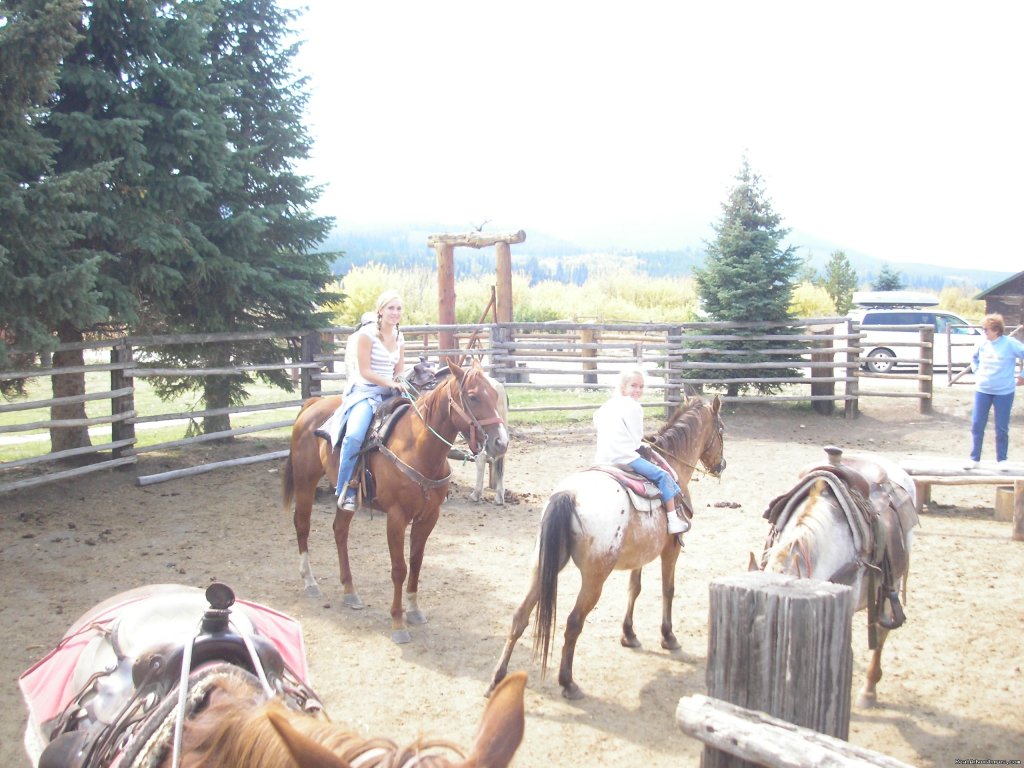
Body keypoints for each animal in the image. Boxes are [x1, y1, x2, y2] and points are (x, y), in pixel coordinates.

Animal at [280, 360, 507, 643]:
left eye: (495, 394)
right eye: (473, 396)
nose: (501, 442)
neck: (418, 448)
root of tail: (312, 404)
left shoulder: (429, 517)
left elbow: (416, 564)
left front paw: (414, 610)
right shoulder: (396, 518)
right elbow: (399, 568)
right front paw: (398, 623)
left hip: (345, 494)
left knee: (340, 531)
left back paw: (350, 591)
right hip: (305, 482)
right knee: (302, 525)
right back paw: (310, 582)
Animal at [485, 399, 720, 700]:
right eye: (721, 429)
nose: (721, 465)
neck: (674, 466)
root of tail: (569, 495)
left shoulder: (639, 555)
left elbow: (634, 589)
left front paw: (629, 634)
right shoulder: (671, 550)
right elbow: (668, 589)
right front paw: (668, 637)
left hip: (541, 567)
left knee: (519, 616)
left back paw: (497, 680)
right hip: (594, 578)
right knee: (573, 622)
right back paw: (568, 683)